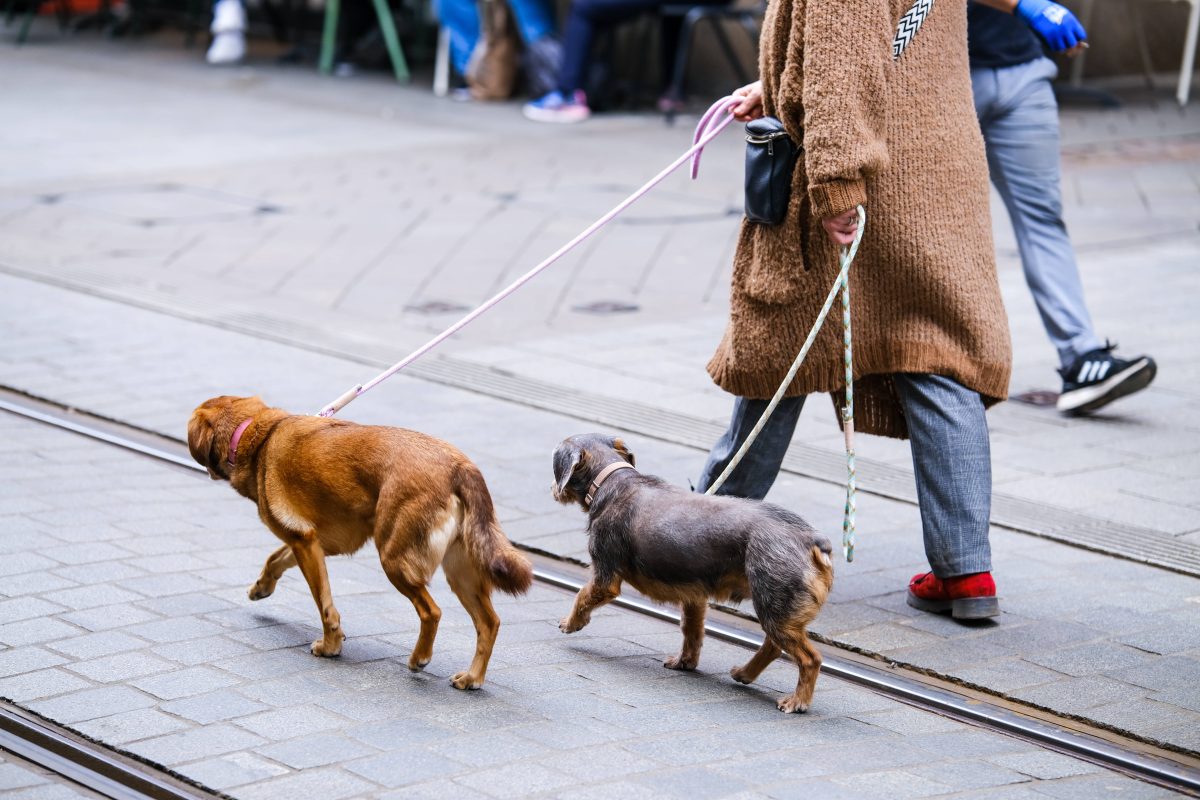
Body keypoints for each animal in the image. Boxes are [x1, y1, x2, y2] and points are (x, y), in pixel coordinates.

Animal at [186, 398, 530, 690]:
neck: (258, 437)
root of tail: (460, 467)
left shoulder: (305, 543)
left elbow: (325, 605)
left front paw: (330, 646)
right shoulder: (312, 542)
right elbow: (275, 559)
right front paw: (261, 587)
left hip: (394, 560)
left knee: (431, 612)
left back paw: (420, 658)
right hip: (460, 574)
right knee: (489, 622)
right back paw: (473, 677)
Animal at [552, 434, 835, 710]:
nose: (553, 490)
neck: (611, 481)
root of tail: (811, 540)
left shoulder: (604, 578)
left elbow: (582, 596)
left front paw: (571, 623)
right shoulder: (694, 596)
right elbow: (692, 631)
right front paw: (685, 662)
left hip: (774, 605)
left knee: (809, 659)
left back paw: (797, 701)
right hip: (776, 611)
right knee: (773, 648)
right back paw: (744, 673)